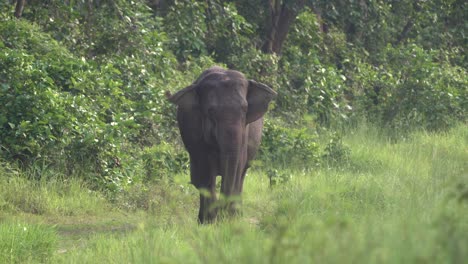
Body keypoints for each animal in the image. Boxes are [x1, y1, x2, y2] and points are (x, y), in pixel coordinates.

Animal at [169, 66, 276, 223]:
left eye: (245, 109)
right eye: (211, 111)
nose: (222, 213)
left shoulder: (244, 132)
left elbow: (237, 165)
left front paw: (228, 220)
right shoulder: (194, 129)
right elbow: (205, 170)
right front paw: (210, 221)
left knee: (241, 174)